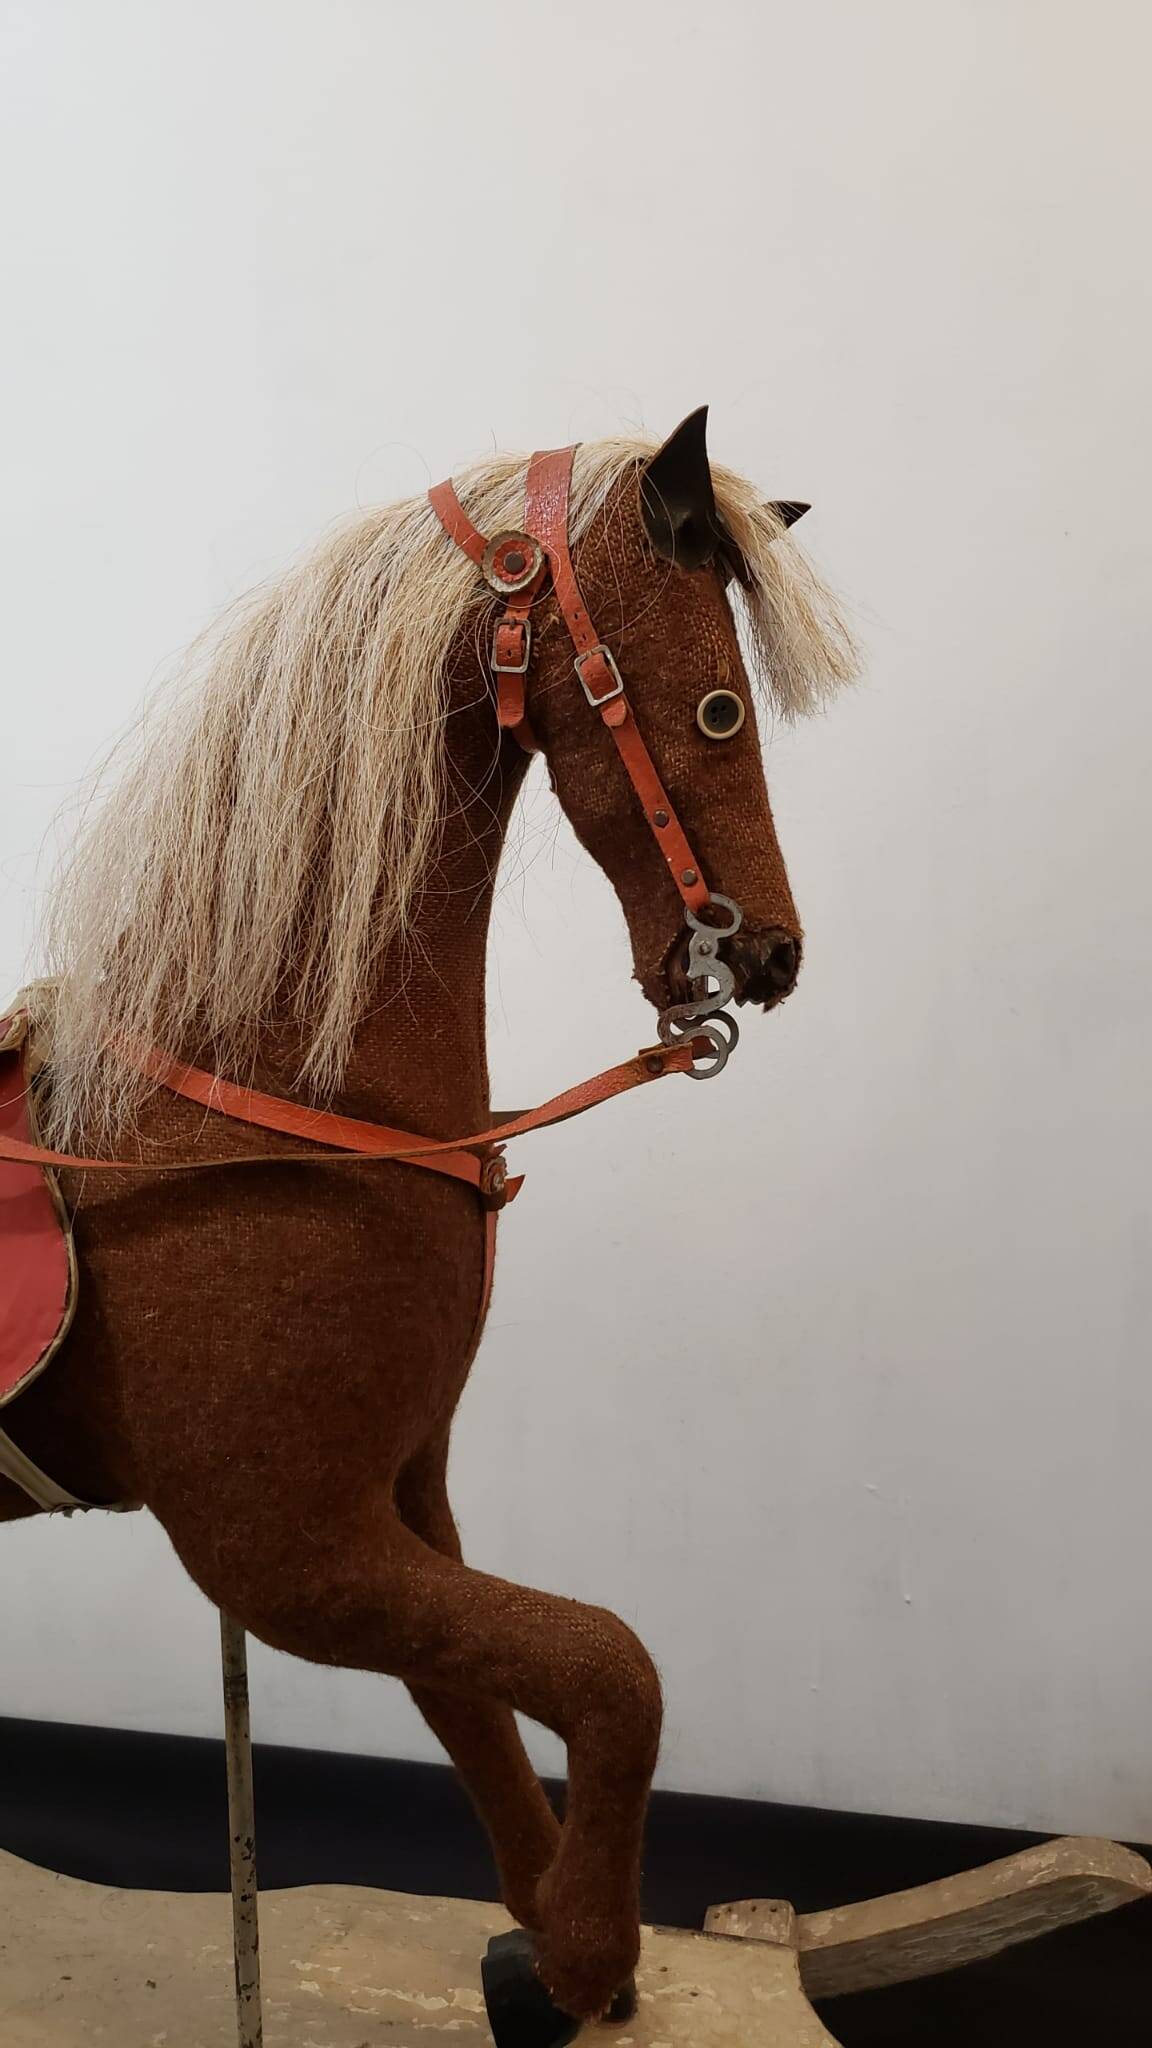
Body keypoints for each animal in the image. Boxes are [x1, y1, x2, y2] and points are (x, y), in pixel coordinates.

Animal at [0, 407, 857, 2035]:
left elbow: (483, 1704)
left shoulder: (404, 1504)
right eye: (719, 709)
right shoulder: (285, 1556)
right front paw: (580, 1957)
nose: (772, 954)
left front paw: (553, 1940)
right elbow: (613, 1669)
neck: (259, 1104)